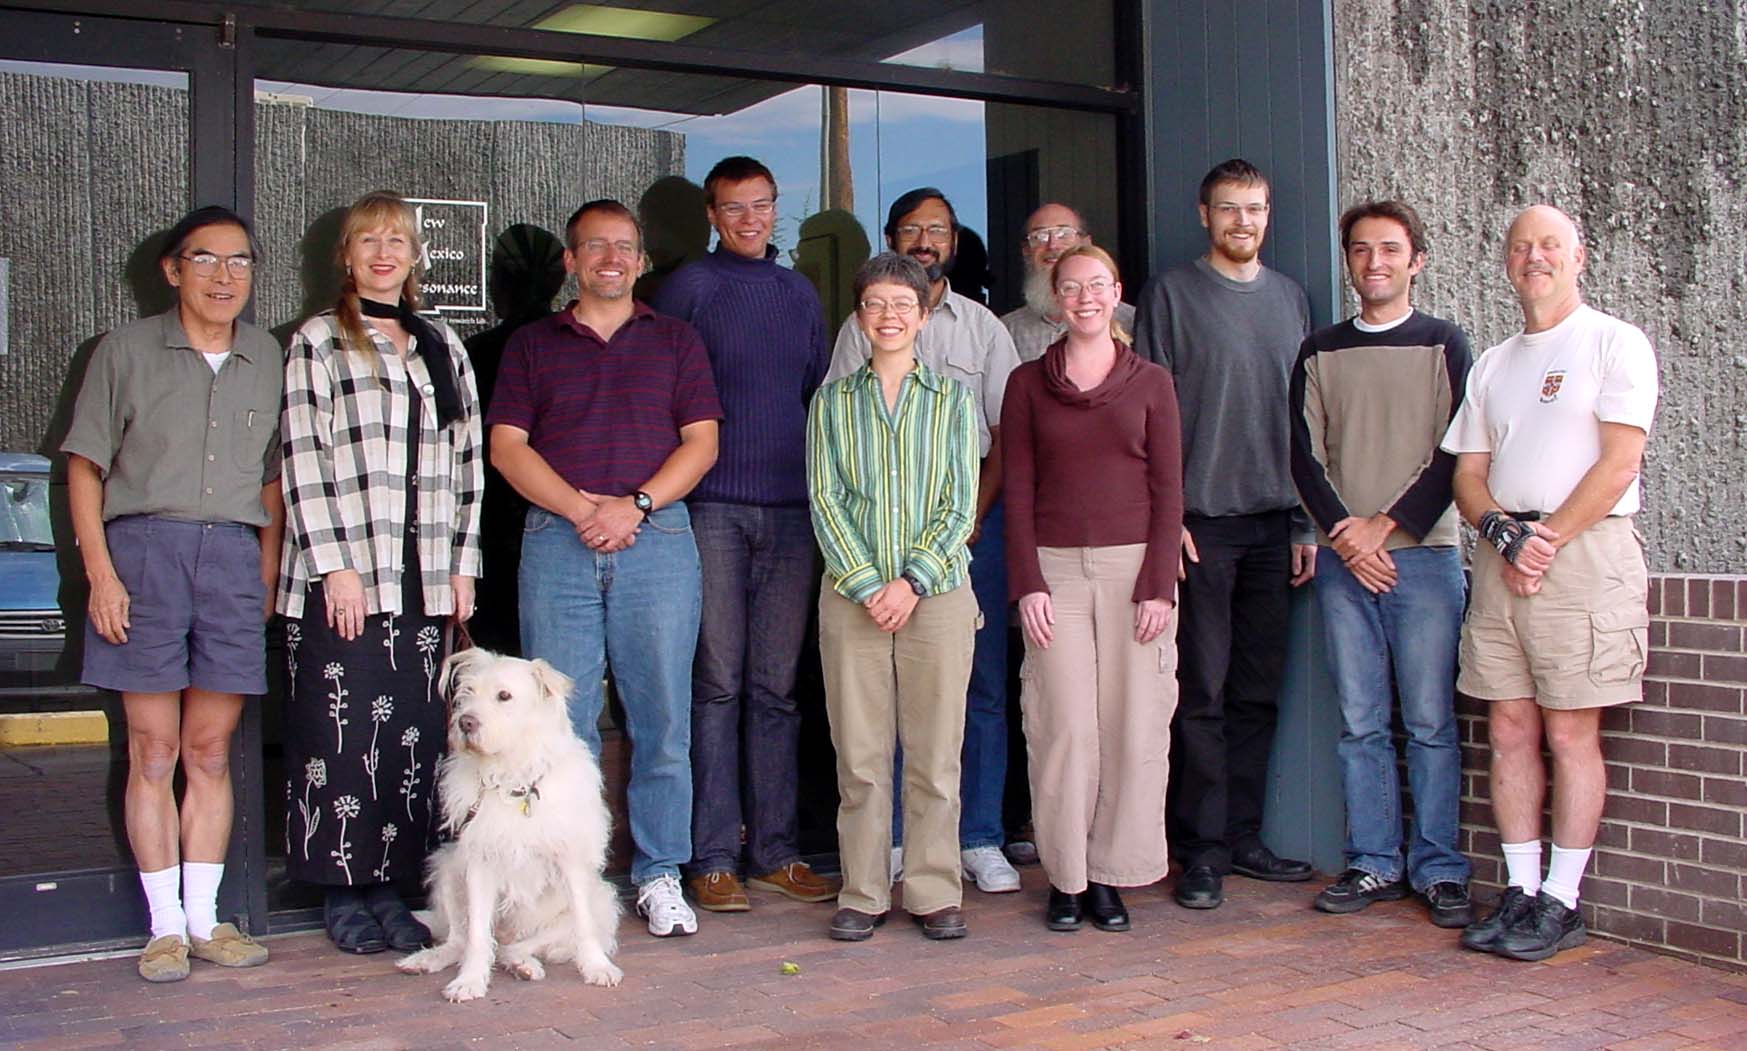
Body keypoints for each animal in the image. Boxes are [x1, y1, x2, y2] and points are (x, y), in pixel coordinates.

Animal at [394, 645, 621, 998]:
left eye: (504, 696)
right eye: (467, 693)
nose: (465, 722)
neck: (514, 778)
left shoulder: (571, 861)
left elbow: (584, 926)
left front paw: (598, 967)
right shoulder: (479, 863)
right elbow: (476, 935)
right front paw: (470, 981)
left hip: (602, 901)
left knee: (515, 948)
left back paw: (523, 965)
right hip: (447, 867)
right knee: (463, 941)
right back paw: (425, 960)